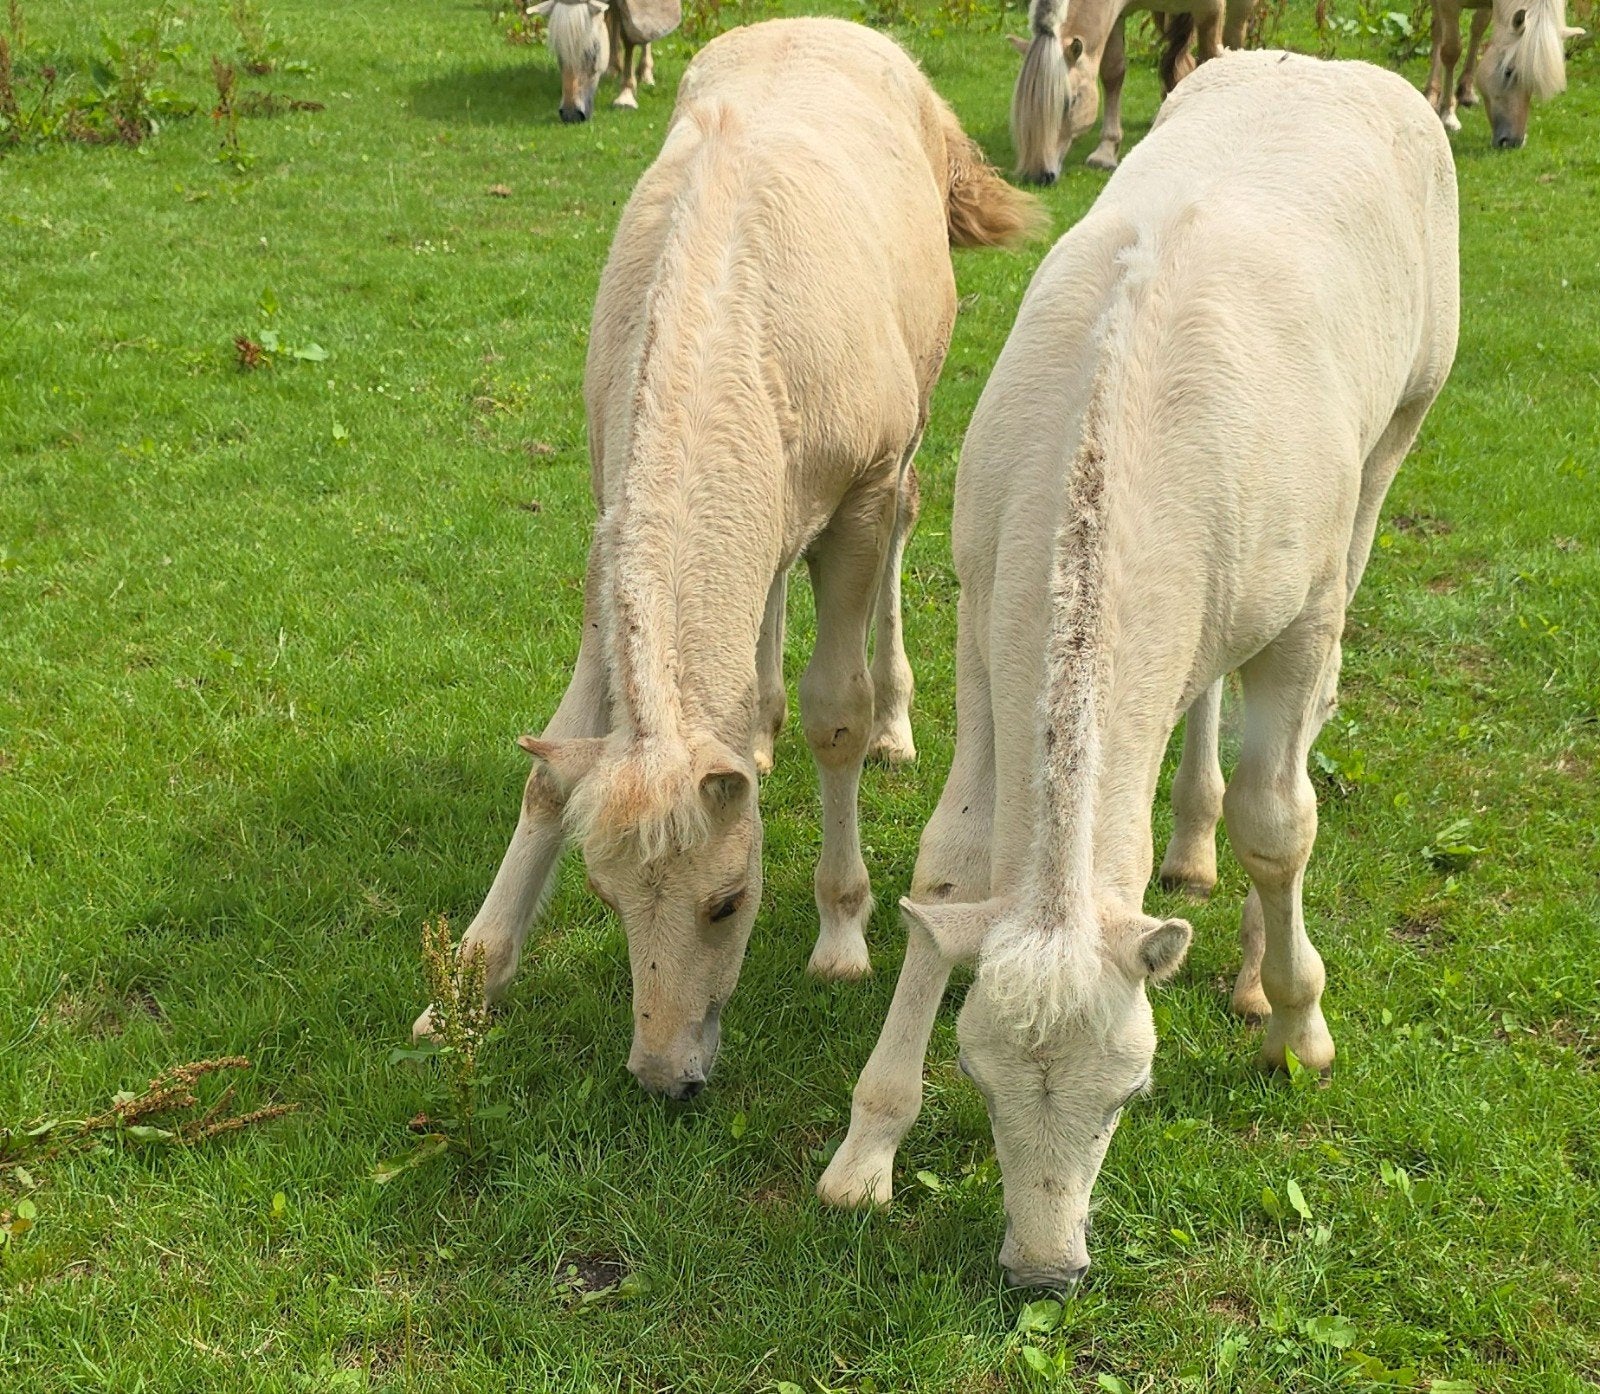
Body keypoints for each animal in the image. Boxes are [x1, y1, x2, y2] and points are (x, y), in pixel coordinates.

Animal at [413, 18, 1038, 1100]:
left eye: (729, 900)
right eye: (606, 901)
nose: (666, 1076)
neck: (722, 311)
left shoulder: (859, 498)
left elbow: (837, 715)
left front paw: (841, 931)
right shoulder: (609, 536)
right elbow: (552, 768)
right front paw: (468, 978)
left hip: (909, 435)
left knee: (903, 533)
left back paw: (895, 723)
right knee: (769, 579)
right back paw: (752, 729)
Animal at [531, 0, 680, 123]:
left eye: (593, 48)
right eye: (559, 50)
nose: (571, 115)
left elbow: (630, 34)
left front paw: (626, 96)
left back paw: (645, 73)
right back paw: (613, 67)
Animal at [819, 50, 1458, 1290]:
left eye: (1130, 1093)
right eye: (981, 1083)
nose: (1044, 1268)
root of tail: (1329, 60)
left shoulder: (1300, 609)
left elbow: (1281, 820)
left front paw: (1297, 1023)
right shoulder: (986, 617)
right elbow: (953, 858)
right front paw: (868, 1141)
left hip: (1399, 428)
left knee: (1308, 697)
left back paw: (1255, 941)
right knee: (1198, 687)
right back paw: (1189, 841)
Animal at [1008, 0, 1253, 180]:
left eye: (1071, 101)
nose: (1038, 176)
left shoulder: (1211, 11)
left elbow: (1214, 59)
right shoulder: (1116, 17)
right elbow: (1113, 73)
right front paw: (1106, 152)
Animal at [1425, 0, 1584, 147]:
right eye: (1508, 72)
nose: (1513, 142)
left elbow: (1479, 26)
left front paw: (1465, 92)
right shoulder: (1448, 5)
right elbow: (1452, 50)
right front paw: (1447, 114)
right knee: (1438, 30)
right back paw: (1431, 94)